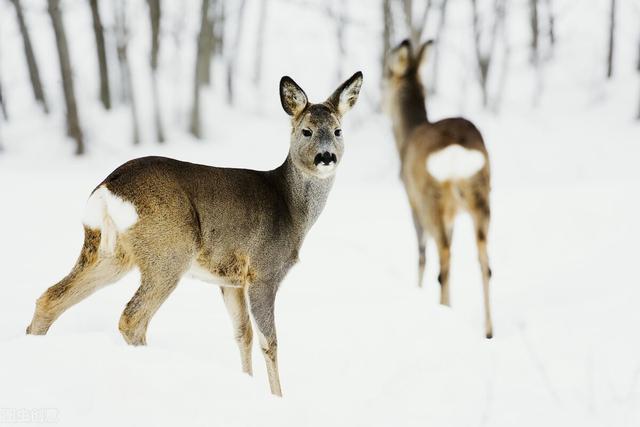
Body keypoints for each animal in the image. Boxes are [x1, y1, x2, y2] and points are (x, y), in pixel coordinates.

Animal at [26, 72, 364, 396]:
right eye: (306, 131)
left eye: (338, 131)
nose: (326, 156)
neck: (291, 209)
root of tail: (108, 187)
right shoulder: (264, 271)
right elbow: (270, 342)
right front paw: (277, 398)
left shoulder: (230, 279)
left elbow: (242, 334)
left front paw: (247, 383)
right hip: (169, 252)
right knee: (132, 318)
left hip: (109, 251)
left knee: (50, 297)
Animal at [382, 41, 492, 342]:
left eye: (386, 74)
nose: (382, 104)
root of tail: (457, 152)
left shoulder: (411, 198)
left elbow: (421, 254)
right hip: (480, 196)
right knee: (484, 262)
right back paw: (488, 331)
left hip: (432, 199)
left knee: (443, 257)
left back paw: (445, 310)